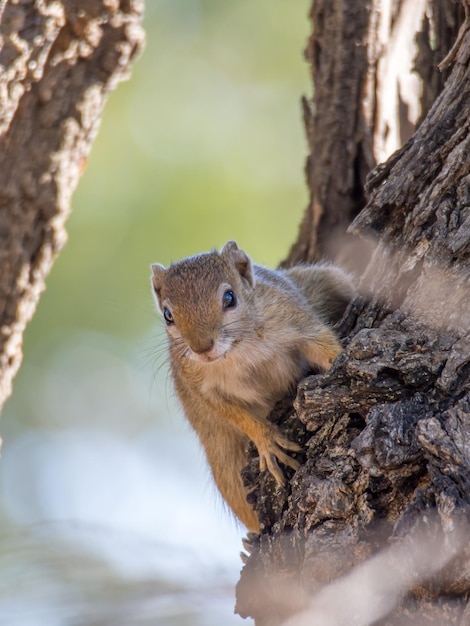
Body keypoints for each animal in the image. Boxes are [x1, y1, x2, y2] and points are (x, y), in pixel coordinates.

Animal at [152, 241, 354, 528]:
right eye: (168, 315)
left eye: (229, 298)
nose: (201, 348)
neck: (238, 350)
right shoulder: (198, 385)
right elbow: (230, 412)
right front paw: (266, 439)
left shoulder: (293, 318)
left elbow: (323, 346)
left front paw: (344, 359)